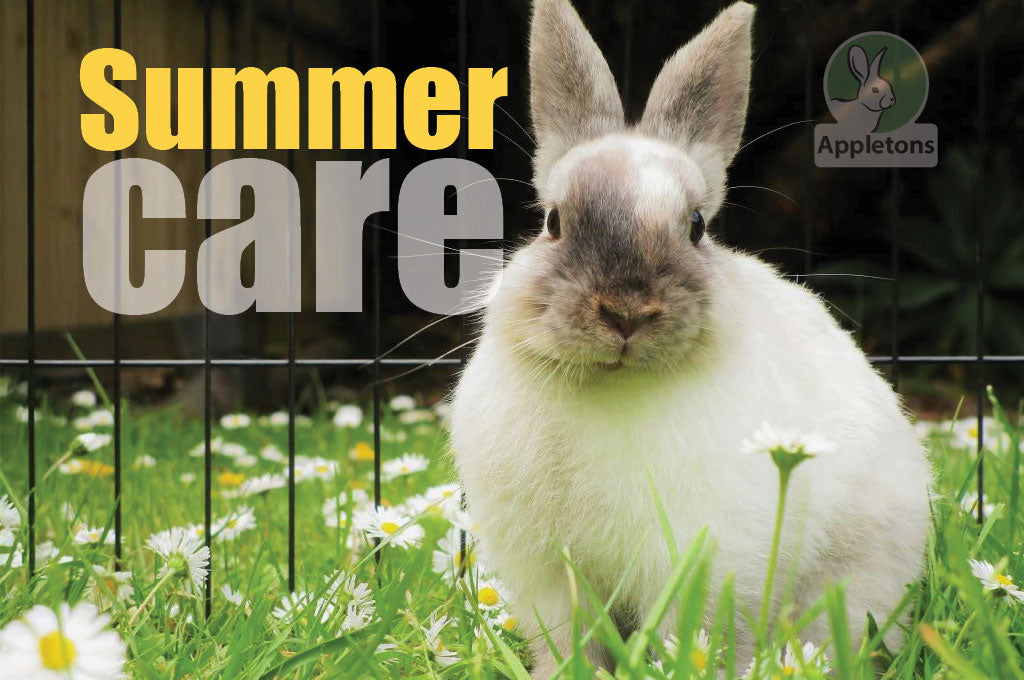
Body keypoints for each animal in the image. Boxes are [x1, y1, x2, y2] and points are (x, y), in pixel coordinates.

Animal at [449, 1, 930, 676]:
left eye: (698, 226)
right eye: (553, 221)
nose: (626, 311)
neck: (614, 386)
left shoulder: (707, 559)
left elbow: (699, 630)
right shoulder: (548, 574)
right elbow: (568, 639)